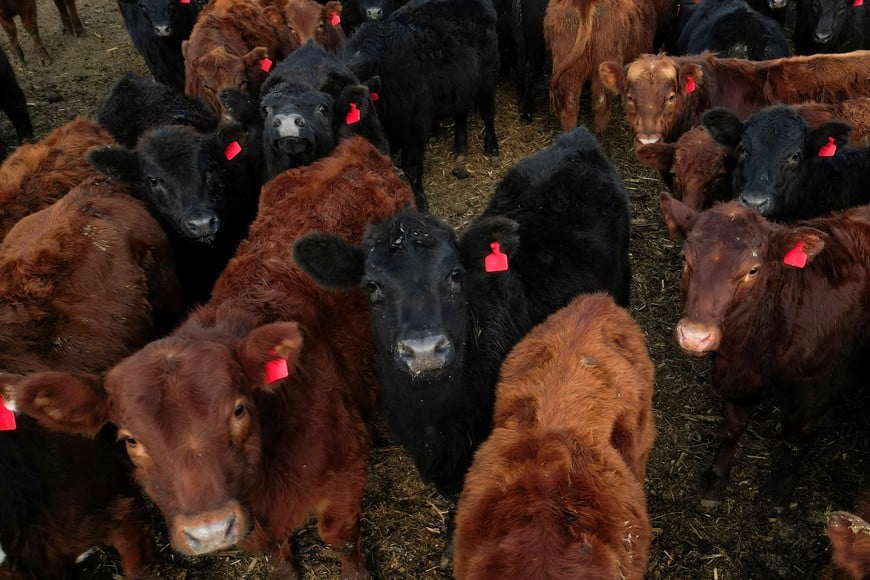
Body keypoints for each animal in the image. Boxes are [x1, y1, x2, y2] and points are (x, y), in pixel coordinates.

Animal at [341, 0, 501, 211]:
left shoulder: (415, 126)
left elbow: (411, 166)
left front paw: (420, 201)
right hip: (461, 85)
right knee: (461, 114)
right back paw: (460, 147)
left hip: (487, 79)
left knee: (488, 112)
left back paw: (491, 147)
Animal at [544, 0, 672, 133]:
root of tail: (584, 3)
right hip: (605, 61)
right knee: (601, 102)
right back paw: (599, 133)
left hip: (568, 67)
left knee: (570, 104)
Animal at [660, 195, 870, 506]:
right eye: (685, 259)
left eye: (752, 270)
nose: (694, 336)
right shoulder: (735, 375)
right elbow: (731, 428)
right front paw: (716, 477)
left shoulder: (815, 387)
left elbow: (795, 439)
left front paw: (780, 489)